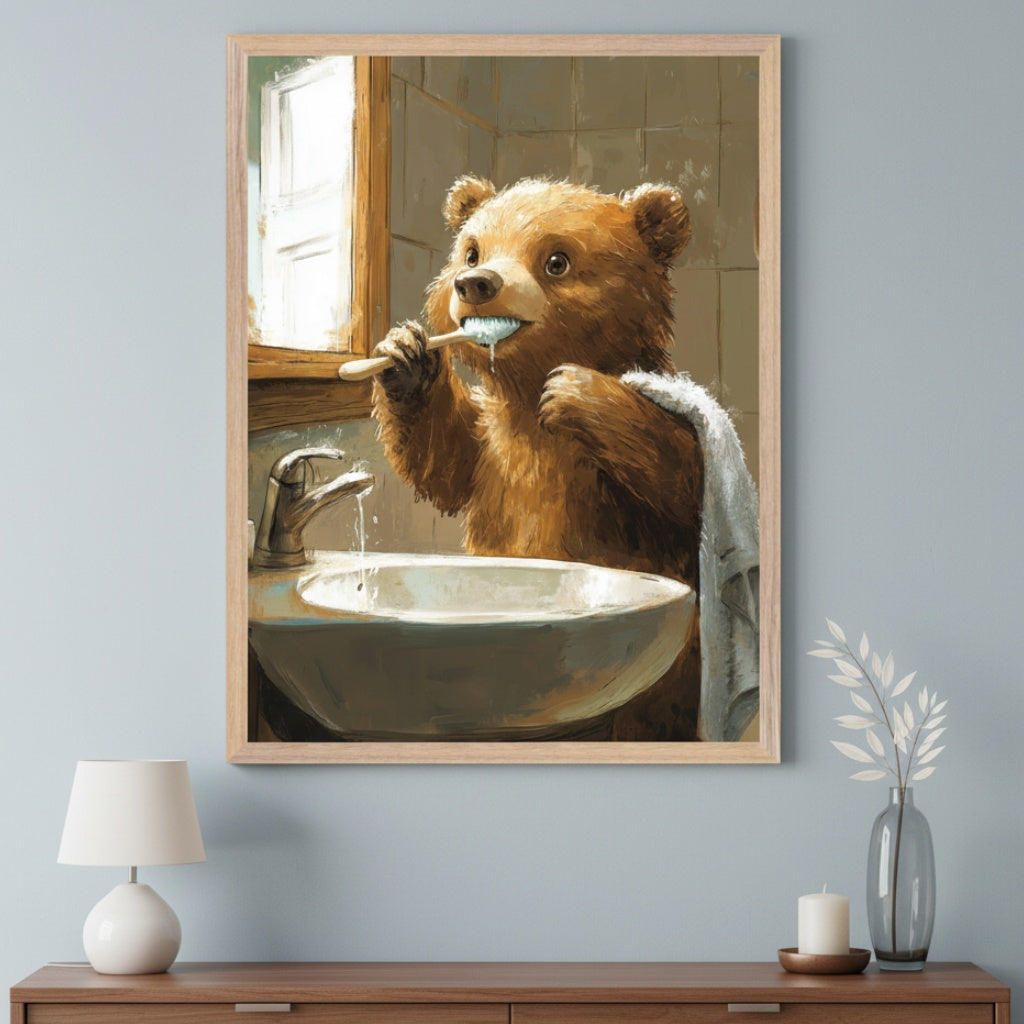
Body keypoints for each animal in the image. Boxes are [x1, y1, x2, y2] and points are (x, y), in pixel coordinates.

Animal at [372, 175, 707, 741]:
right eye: (472, 250)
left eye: (557, 261)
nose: (476, 284)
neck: (525, 396)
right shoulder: (493, 449)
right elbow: (445, 467)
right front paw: (405, 357)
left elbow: (686, 483)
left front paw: (577, 392)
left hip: (678, 665)